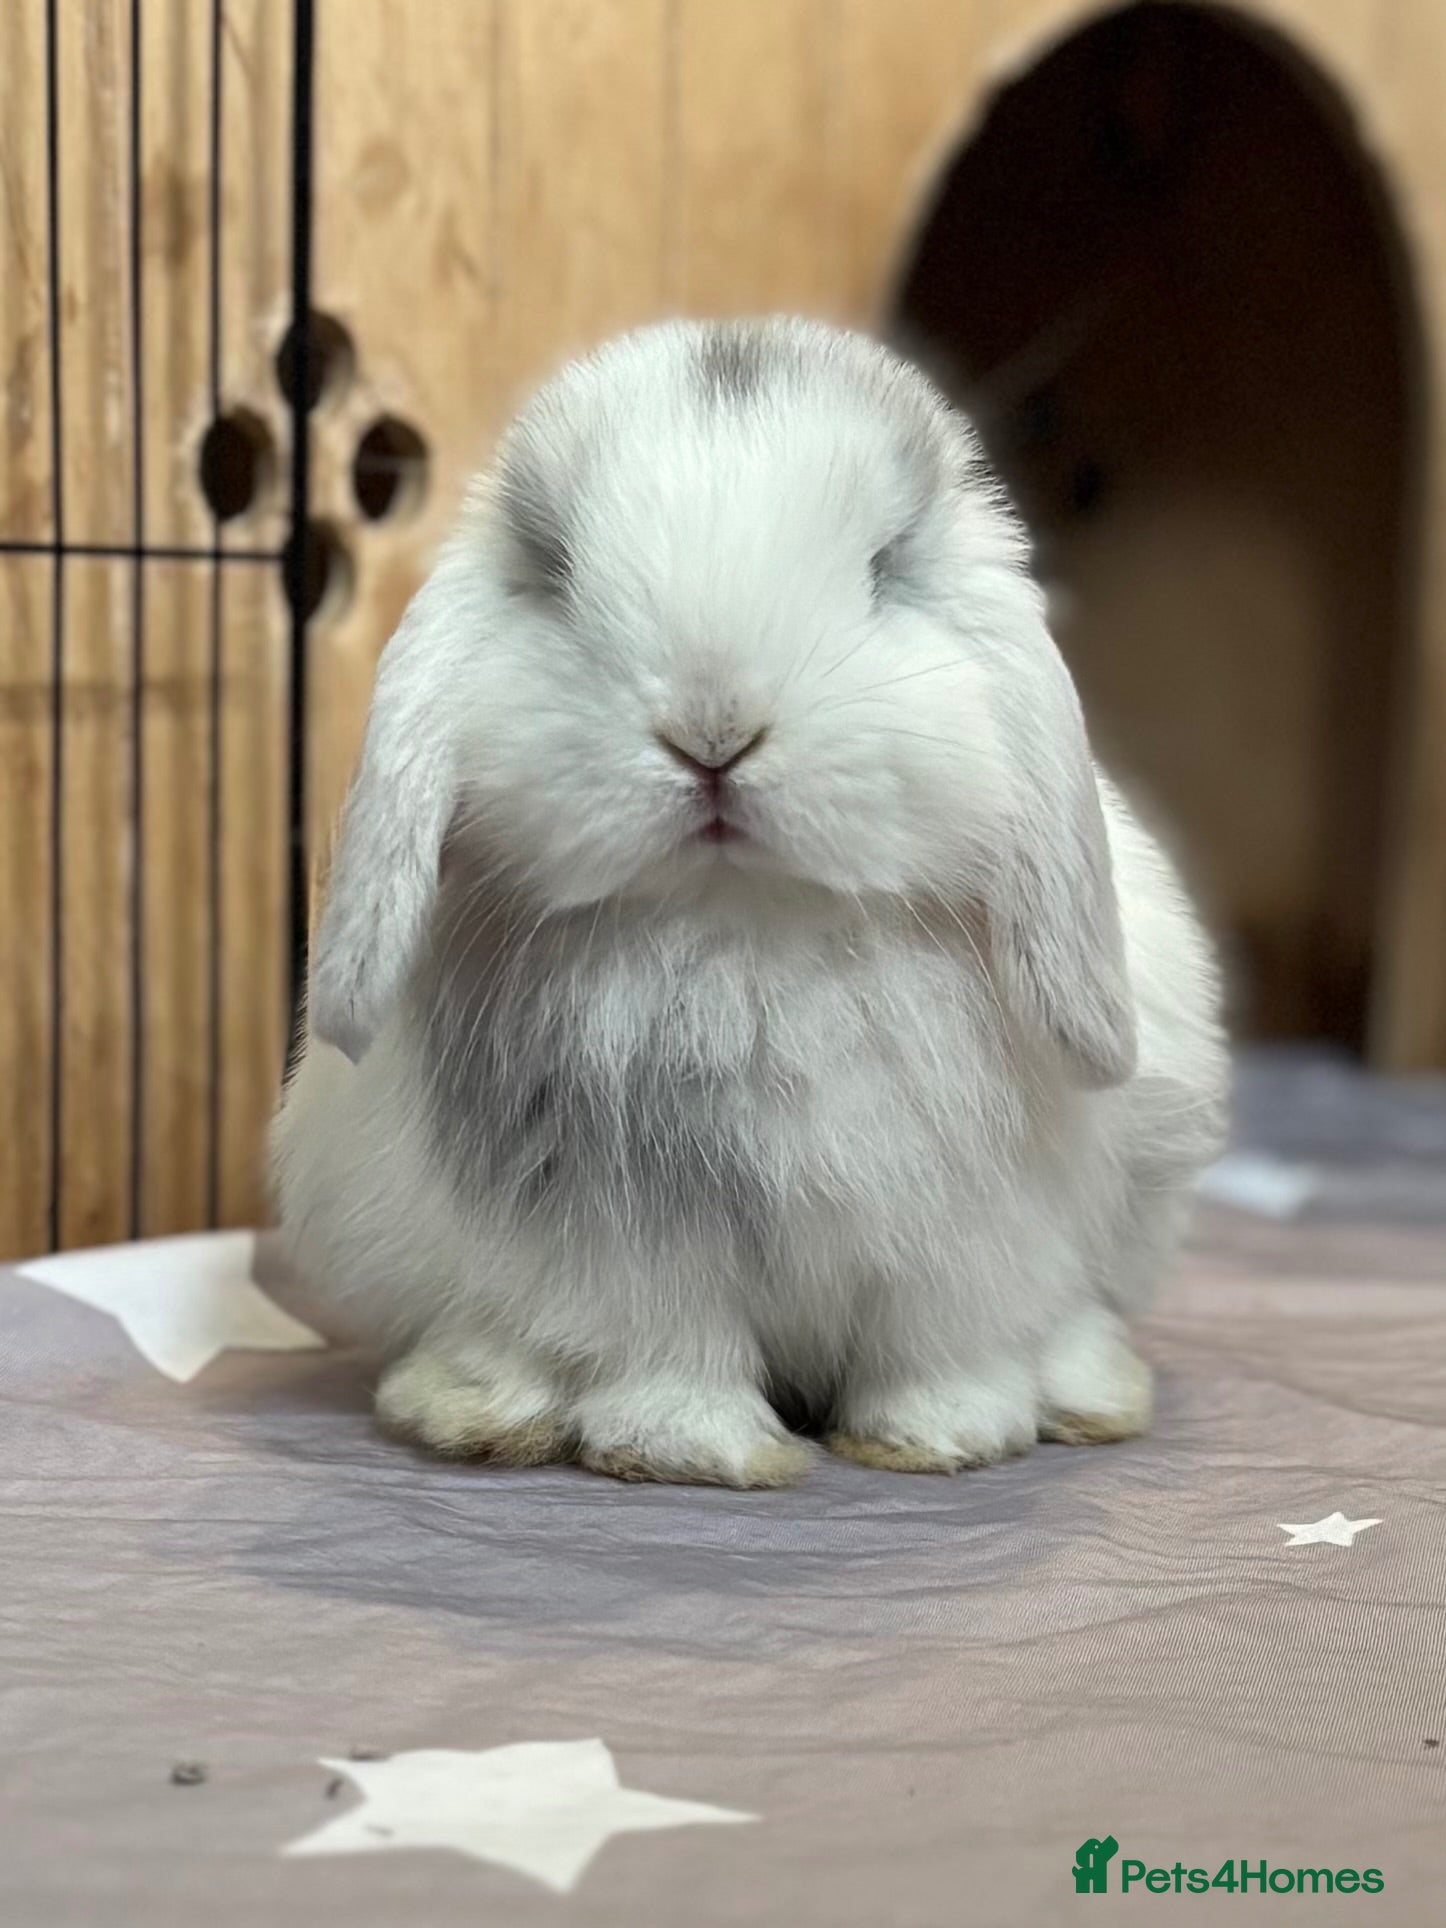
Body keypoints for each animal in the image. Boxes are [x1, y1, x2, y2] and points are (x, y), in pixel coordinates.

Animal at [271, 316, 1227, 1489]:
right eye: (556, 568)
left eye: (884, 567)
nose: (713, 729)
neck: (747, 927)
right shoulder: (625, 1252)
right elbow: (666, 1354)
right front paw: (698, 1450)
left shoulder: (962, 1251)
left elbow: (941, 1346)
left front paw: (937, 1438)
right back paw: (480, 1409)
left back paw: (1088, 1393)